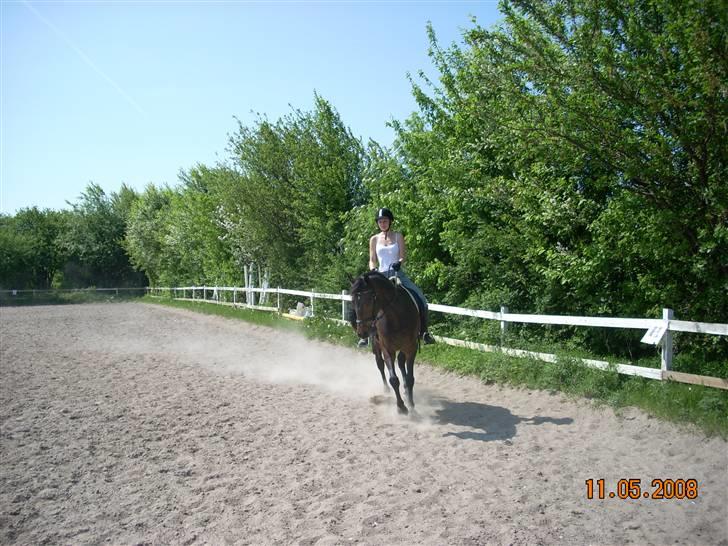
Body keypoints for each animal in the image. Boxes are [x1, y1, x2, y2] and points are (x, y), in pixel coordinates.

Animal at [352, 268, 420, 412]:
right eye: (353, 301)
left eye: (369, 300)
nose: (361, 332)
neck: (396, 316)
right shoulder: (387, 349)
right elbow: (393, 379)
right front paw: (401, 407)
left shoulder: (411, 347)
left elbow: (410, 378)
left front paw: (411, 404)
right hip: (376, 344)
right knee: (380, 364)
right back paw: (386, 389)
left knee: (401, 363)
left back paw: (406, 391)